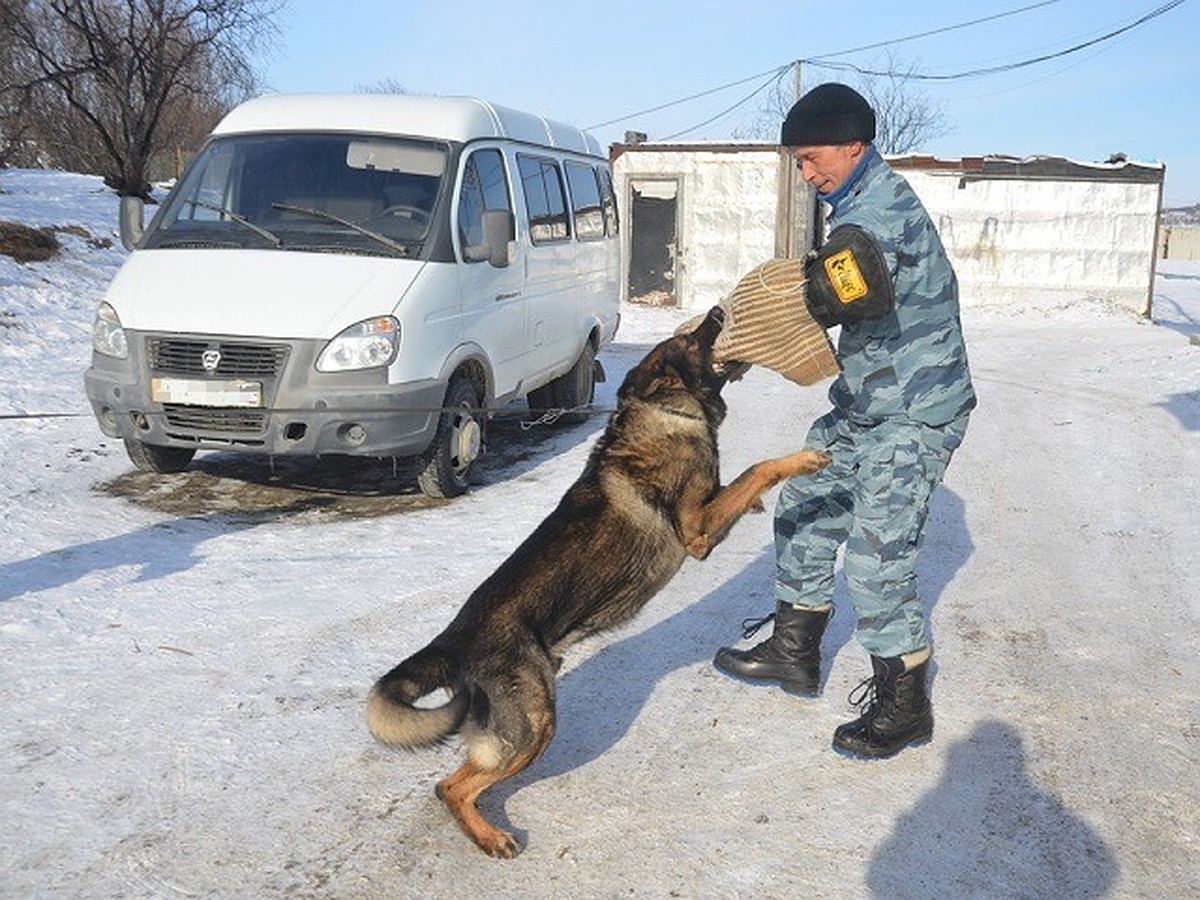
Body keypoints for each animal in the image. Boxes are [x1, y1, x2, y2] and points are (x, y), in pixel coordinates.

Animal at [364, 309, 830, 859]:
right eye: (692, 341)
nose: (717, 312)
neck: (663, 411)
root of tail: (455, 638)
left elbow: (745, 484)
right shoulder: (698, 529)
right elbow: (758, 469)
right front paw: (804, 459)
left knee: (453, 781)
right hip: (534, 726)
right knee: (451, 786)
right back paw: (491, 836)